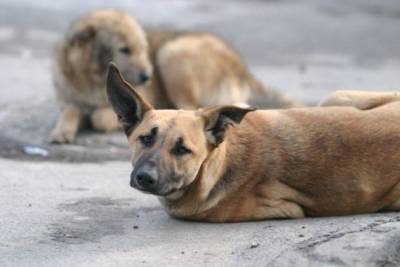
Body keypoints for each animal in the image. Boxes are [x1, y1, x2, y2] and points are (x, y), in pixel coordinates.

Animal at [50, 8, 302, 144]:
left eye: (143, 48)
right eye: (124, 50)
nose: (147, 77)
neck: (91, 80)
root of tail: (241, 66)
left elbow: (99, 117)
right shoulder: (69, 100)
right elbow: (71, 110)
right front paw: (62, 130)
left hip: (171, 53)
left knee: (191, 109)